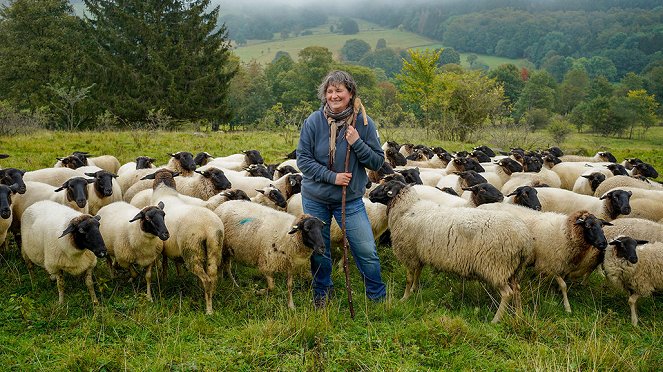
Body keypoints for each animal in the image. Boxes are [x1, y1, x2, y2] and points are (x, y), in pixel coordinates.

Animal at [368, 180, 536, 322]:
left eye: (385, 187)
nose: (369, 194)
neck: (407, 209)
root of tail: (524, 239)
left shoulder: (409, 252)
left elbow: (409, 278)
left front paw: (404, 298)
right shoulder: (418, 252)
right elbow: (418, 273)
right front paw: (415, 289)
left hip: (496, 266)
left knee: (507, 293)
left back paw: (496, 319)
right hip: (513, 269)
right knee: (517, 290)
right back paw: (519, 315)